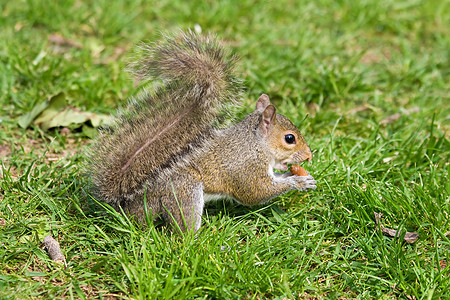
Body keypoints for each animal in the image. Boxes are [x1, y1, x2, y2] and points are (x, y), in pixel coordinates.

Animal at [86, 30, 314, 232]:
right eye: (290, 138)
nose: (309, 156)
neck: (255, 143)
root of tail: (130, 206)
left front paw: (295, 175)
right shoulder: (246, 168)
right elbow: (256, 193)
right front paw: (298, 182)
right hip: (184, 190)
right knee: (182, 232)